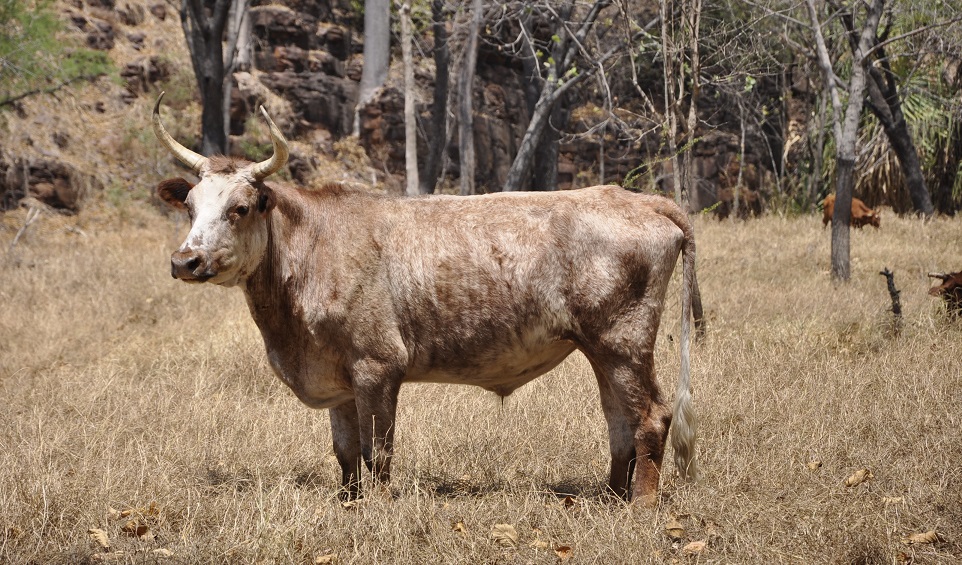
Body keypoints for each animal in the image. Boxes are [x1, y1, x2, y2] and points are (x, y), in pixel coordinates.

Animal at [152, 91, 704, 502]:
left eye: (240, 208)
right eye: (190, 206)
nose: (185, 261)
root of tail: (634, 198)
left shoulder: (377, 366)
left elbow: (377, 452)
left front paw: (375, 508)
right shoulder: (338, 377)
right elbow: (345, 452)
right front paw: (348, 505)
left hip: (624, 342)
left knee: (650, 417)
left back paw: (640, 506)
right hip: (601, 348)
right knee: (619, 423)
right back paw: (610, 497)